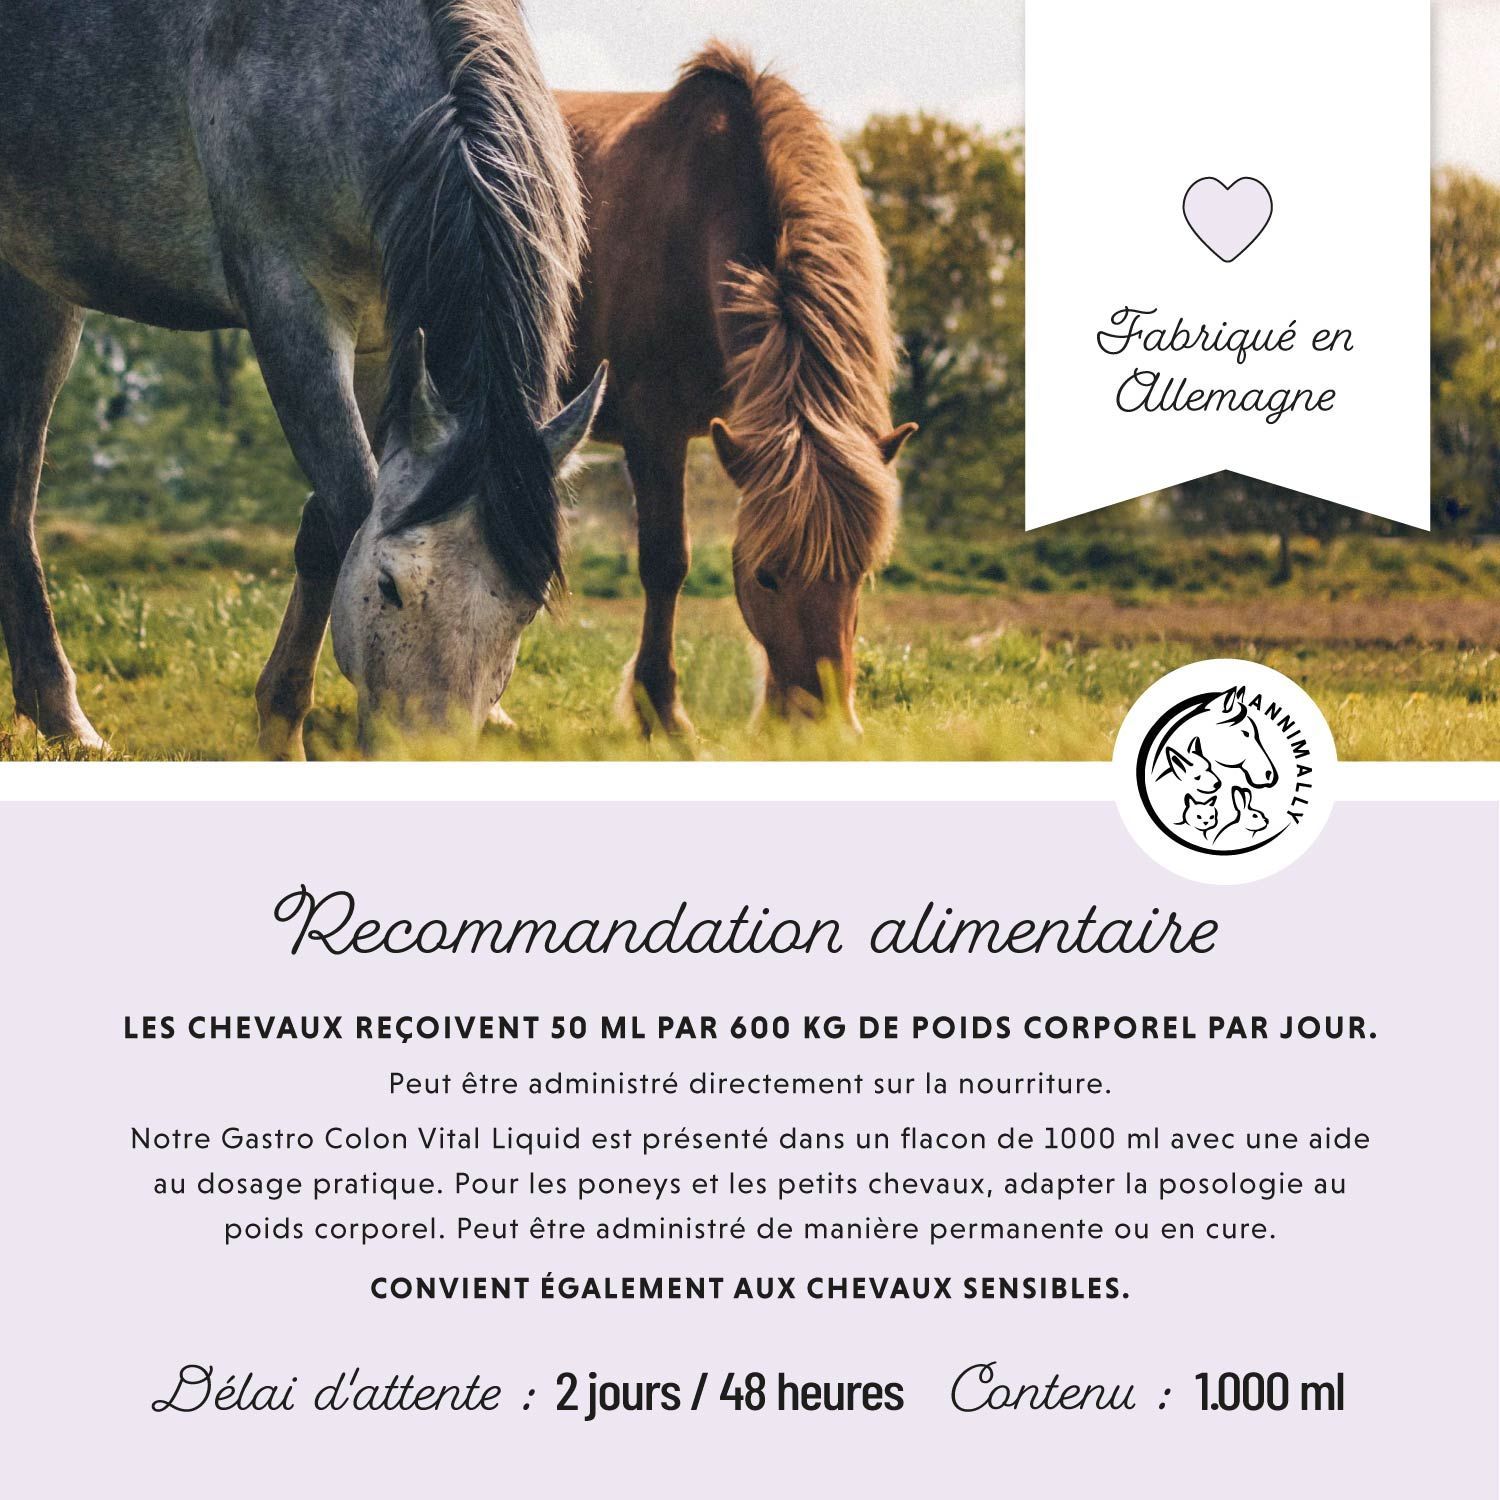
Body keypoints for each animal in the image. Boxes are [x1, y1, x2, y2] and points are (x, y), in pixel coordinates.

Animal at [0, 0, 605, 756]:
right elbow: (348, 502)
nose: (426, 752)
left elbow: (329, 519)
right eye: (389, 585)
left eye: (525, 608)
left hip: (37, 292)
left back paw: (54, 715)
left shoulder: (387, 343)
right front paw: (283, 730)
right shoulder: (292, 309)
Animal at [558, 44, 916, 734]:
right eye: (766, 577)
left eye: (859, 575)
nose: (822, 727)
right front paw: (662, 712)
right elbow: (666, 562)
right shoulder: (654, 428)